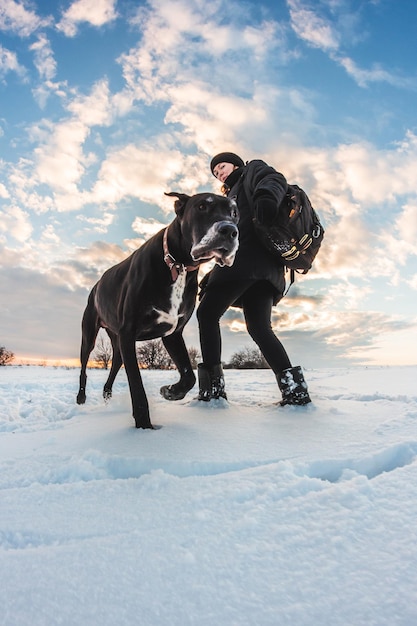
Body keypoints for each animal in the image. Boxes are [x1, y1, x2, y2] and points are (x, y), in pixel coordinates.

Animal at [75, 193, 237, 426]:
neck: (178, 265)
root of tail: (96, 285)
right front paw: (145, 426)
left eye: (234, 212)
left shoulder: (172, 334)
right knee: (84, 368)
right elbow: (137, 386)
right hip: (90, 334)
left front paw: (170, 391)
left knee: (114, 365)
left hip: (117, 339)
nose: (230, 230)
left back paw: (107, 395)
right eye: (202, 206)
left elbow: (189, 376)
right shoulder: (128, 333)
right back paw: (81, 397)